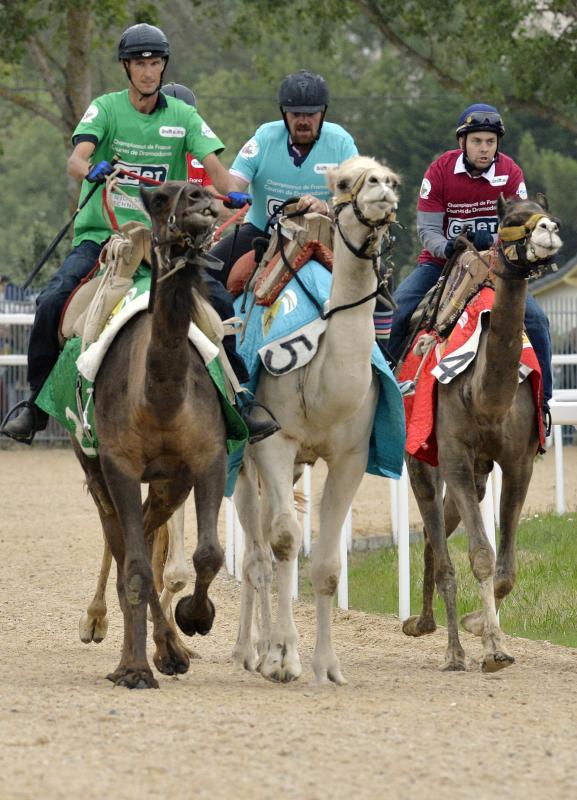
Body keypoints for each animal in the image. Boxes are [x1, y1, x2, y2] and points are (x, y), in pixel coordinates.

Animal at [74, 183, 230, 688]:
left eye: (205, 192)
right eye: (161, 198)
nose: (202, 201)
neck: (160, 398)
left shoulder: (206, 459)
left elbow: (208, 553)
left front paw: (195, 619)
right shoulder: (118, 465)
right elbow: (138, 567)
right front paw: (134, 670)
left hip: (167, 484)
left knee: (141, 533)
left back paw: (169, 649)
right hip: (95, 469)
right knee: (124, 546)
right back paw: (105, 629)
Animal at [225, 158, 400, 688]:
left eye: (392, 178)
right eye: (345, 181)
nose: (381, 191)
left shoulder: (350, 457)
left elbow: (325, 564)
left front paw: (327, 666)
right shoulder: (275, 442)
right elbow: (284, 541)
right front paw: (284, 657)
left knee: (263, 545)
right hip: (245, 463)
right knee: (257, 552)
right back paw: (249, 652)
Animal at [398, 197, 560, 672]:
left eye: (543, 208)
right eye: (510, 220)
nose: (548, 229)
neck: (483, 393)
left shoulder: (518, 462)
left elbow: (505, 568)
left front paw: (483, 630)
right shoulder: (452, 454)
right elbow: (482, 557)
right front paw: (490, 648)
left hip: (478, 474)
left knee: (432, 540)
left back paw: (424, 624)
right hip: (423, 463)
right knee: (437, 540)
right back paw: (447, 648)